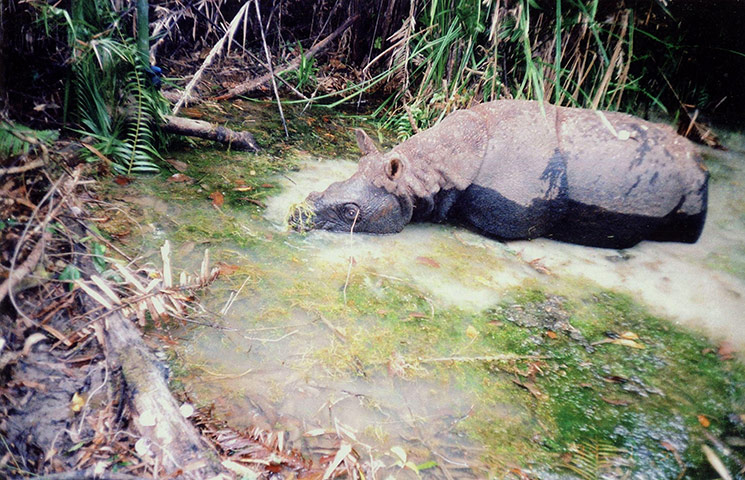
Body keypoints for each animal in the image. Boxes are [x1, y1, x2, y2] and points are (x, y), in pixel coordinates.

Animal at [288, 100, 708, 249]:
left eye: (350, 212)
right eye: (326, 186)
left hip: (692, 181)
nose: (294, 216)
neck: (422, 172)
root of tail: (696, 155)